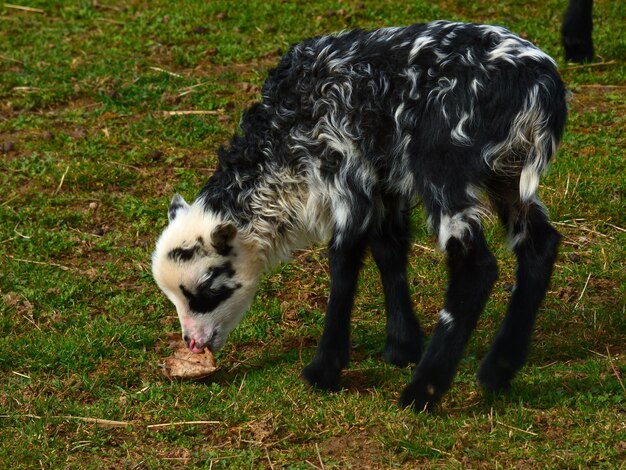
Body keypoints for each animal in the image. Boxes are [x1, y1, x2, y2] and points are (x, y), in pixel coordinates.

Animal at [152, 21, 564, 412]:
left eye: (206, 291)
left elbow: (343, 263)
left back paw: (424, 390)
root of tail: (542, 86)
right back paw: (498, 369)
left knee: (475, 267)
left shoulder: (346, 174)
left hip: (442, 165)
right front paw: (401, 346)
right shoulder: (383, 181)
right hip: (507, 172)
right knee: (539, 246)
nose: (193, 344)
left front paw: (325, 369)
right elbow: (389, 250)